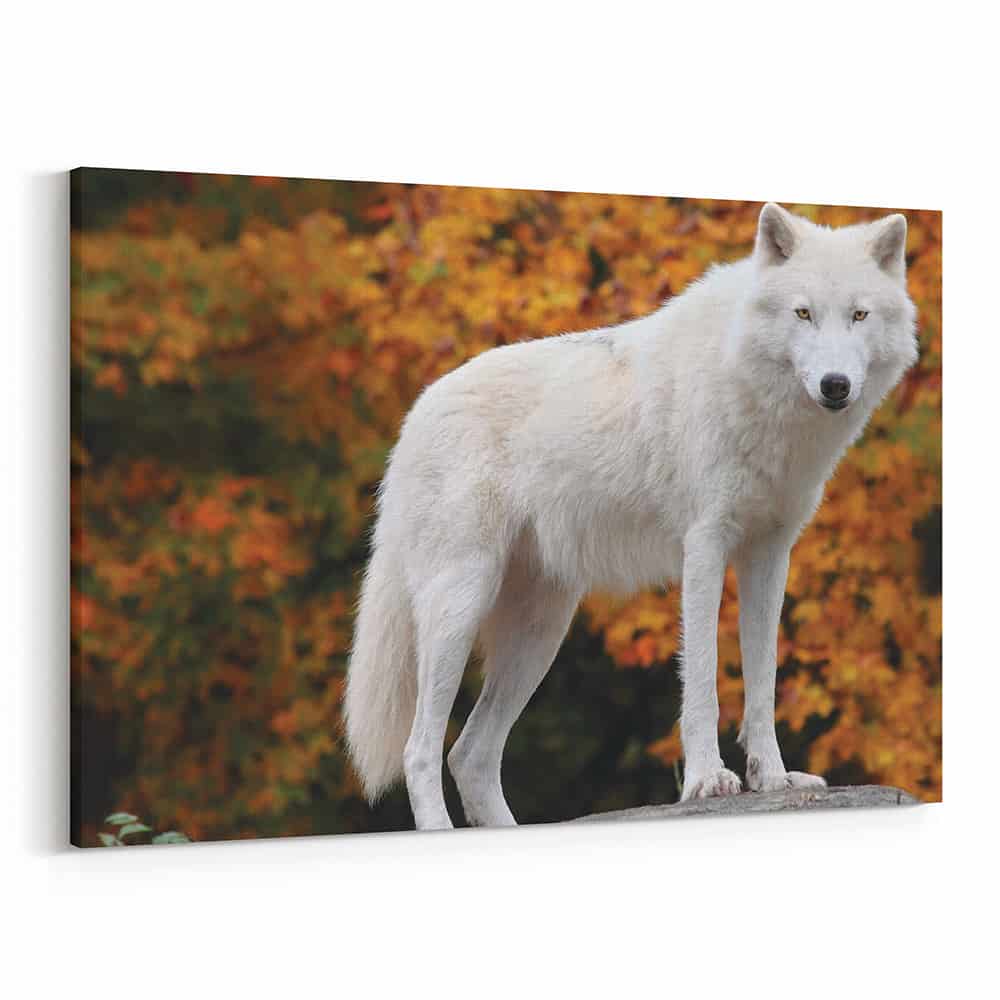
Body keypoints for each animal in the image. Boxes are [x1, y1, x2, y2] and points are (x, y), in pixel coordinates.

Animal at [344, 202, 918, 830]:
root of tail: (414, 416)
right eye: (803, 313)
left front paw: (772, 778)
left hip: (540, 633)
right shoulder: (705, 546)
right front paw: (707, 780)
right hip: (459, 608)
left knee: (468, 754)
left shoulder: (769, 555)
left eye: (859, 315)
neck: (752, 389)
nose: (835, 386)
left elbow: (763, 680)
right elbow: (703, 678)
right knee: (421, 751)